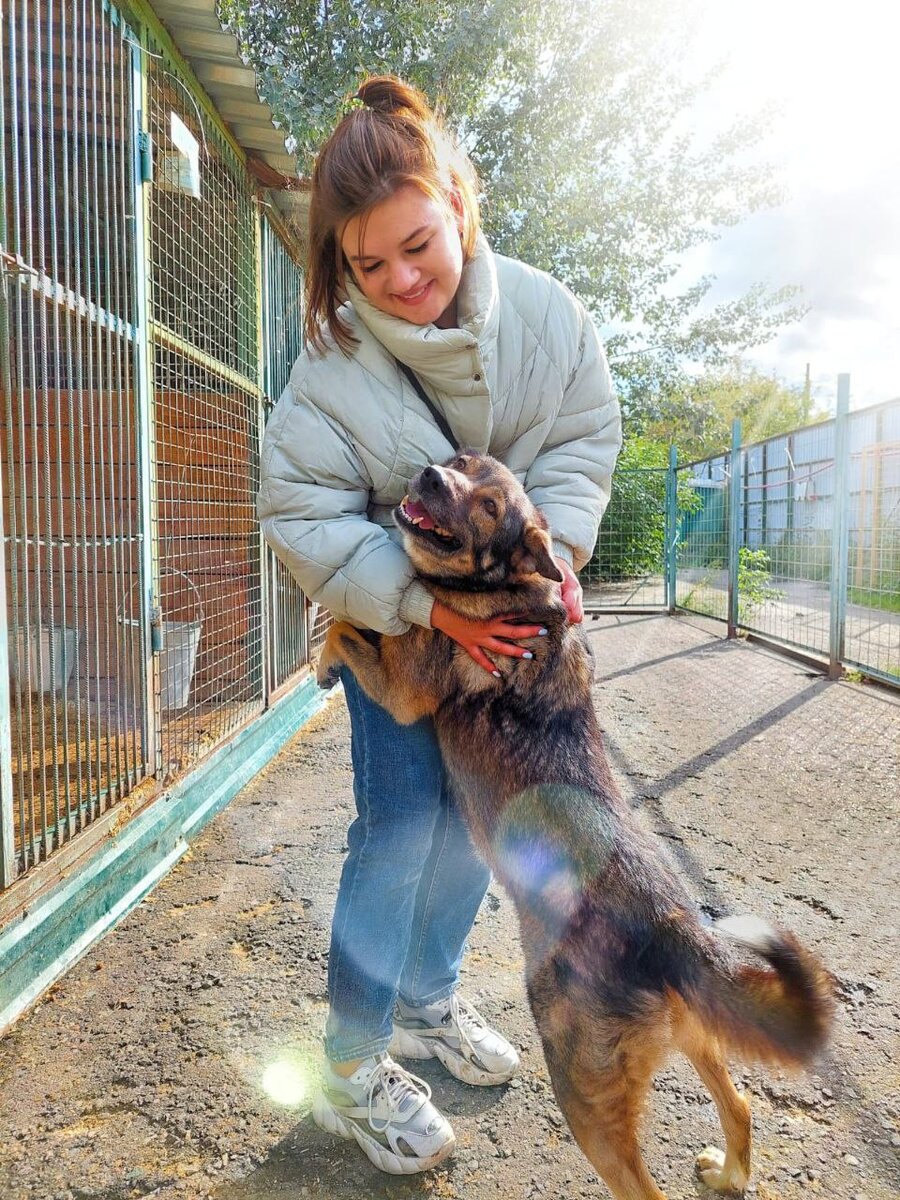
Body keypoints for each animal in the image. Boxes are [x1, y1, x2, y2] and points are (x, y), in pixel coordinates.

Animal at [319, 451, 840, 1200]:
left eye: (488, 507)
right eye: (461, 463)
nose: (430, 475)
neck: (507, 589)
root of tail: (673, 928)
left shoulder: (406, 691)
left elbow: (345, 628)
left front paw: (322, 648)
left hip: (583, 1090)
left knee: (644, 1184)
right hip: (694, 1035)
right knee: (740, 1103)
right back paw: (728, 1171)